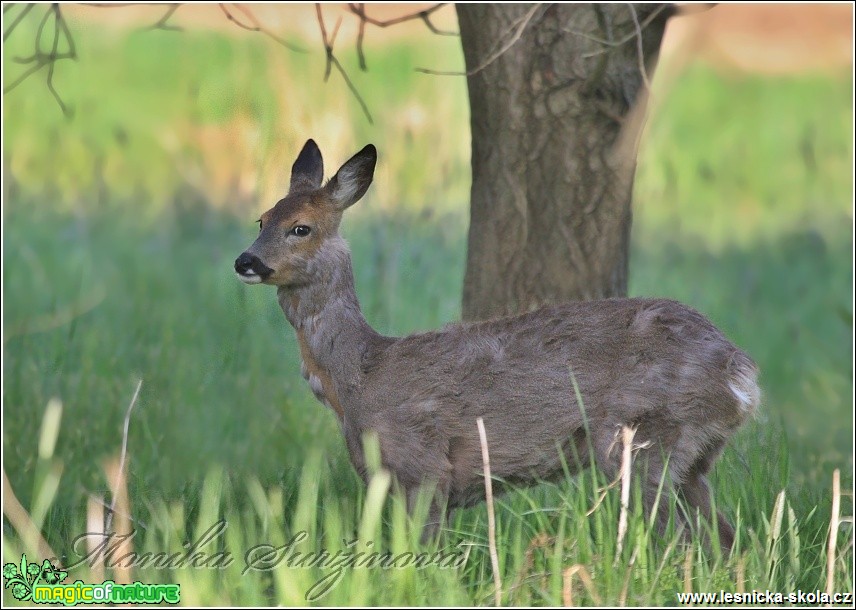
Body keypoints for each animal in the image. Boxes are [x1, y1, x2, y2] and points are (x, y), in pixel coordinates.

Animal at [231, 140, 760, 548]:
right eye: (261, 219)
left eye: (301, 227)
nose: (245, 261)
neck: (358, 377)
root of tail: (740, 373)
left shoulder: (423, 465)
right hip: (693, 458)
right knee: (727, 538)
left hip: (643, 437)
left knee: (680, 541)